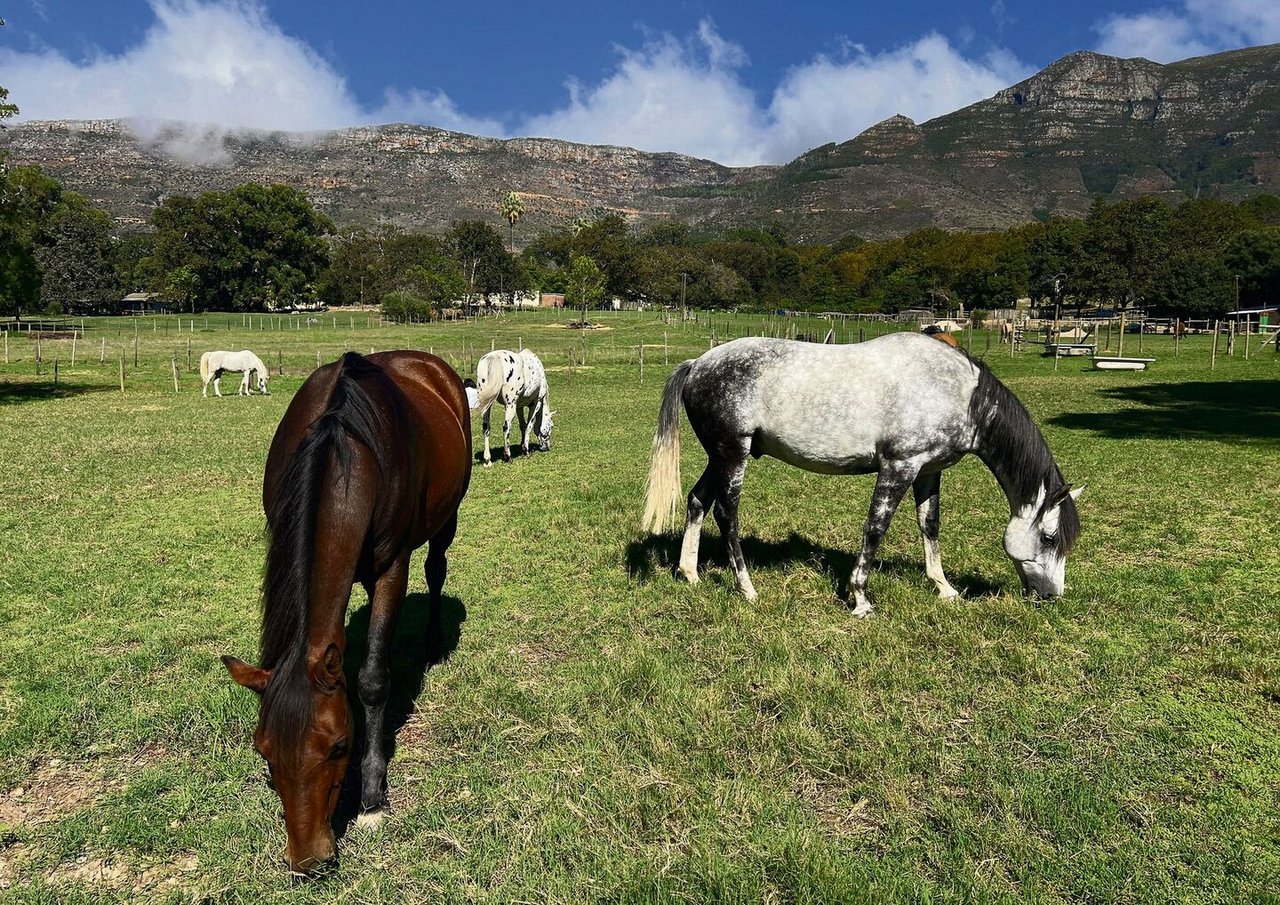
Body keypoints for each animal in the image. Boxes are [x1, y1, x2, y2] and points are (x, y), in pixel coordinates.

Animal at [222, 350, 473, 875]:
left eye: (339, 746)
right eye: (263, 750)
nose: (308, 861)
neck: (341, 450)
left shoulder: (392, 568)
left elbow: (373, 680)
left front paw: (373, 796)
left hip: (449, 515)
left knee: (437, 568)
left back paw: (433, 639)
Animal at [640, 335, 1080, 619]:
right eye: (1049, 538)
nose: (1051, 596)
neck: (959, 393)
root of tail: (697, 365)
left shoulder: (928, 471)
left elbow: (929, 525)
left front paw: (944, 588)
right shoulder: (899, 466)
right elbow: (875, 528)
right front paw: (860, 598)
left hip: (718, 457)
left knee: (698, 501)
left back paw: (690, 573)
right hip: (733, 454)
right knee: (726, 515)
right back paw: (746, 588)